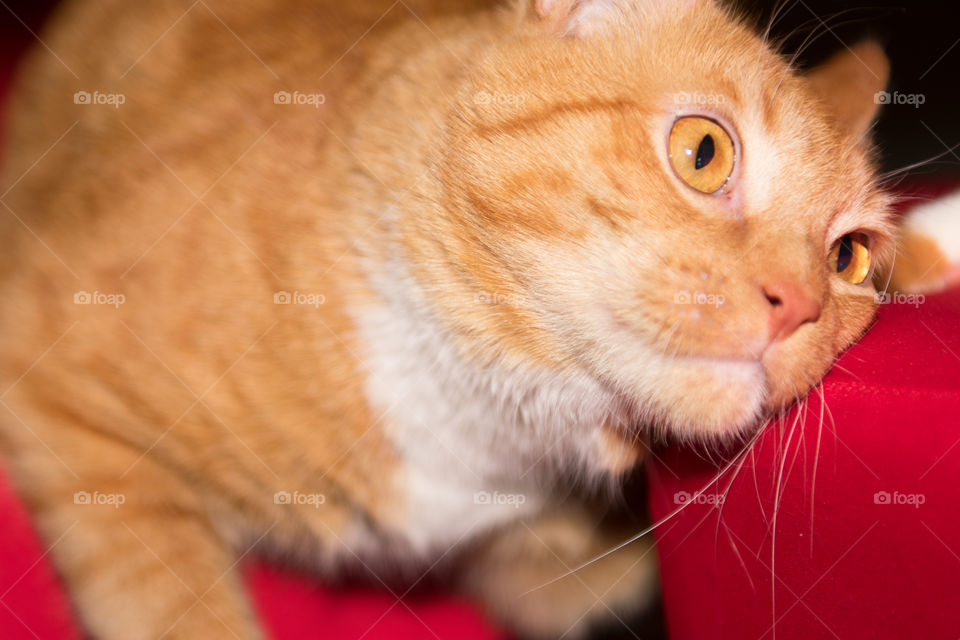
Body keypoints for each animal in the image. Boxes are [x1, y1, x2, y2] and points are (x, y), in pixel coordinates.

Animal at [0, 0, 948, 636]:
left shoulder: (544, 577)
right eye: (704, 151)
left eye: (849, 258)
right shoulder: (57, 386)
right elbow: (182, 609)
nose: (799, 306)